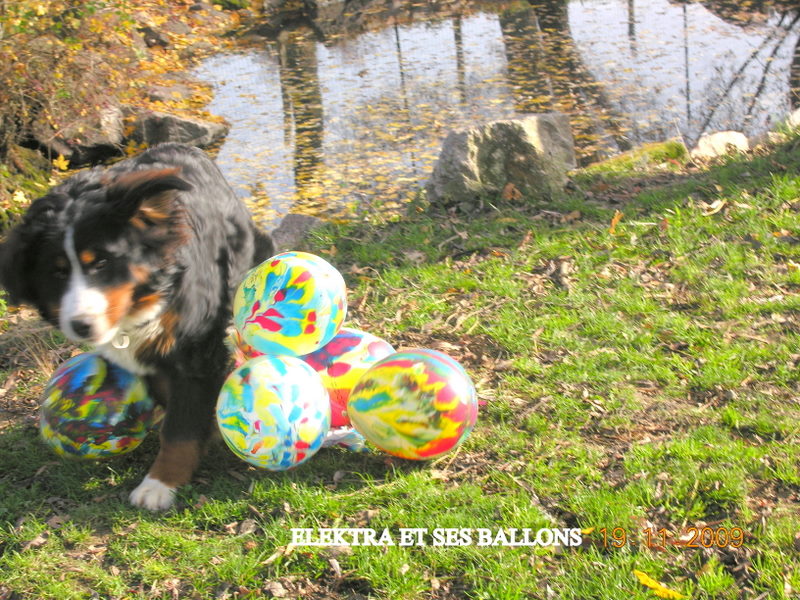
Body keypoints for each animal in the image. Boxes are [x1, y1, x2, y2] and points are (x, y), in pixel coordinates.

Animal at [0, 143, 274, 510]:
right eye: (57, 272)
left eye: (102, 262)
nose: (81, 325)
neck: (143, 301)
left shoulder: (196, 349)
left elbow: (180, 428)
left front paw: (160, 484)